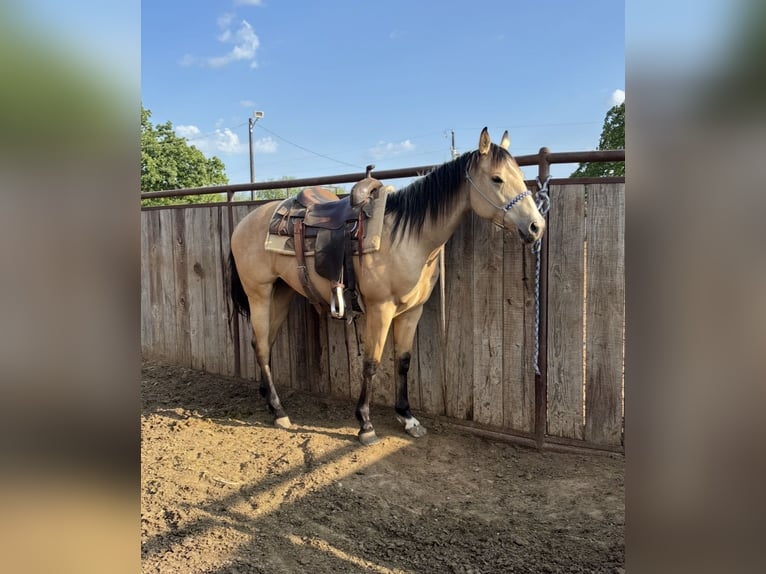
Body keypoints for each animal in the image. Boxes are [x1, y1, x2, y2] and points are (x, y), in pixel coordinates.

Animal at [228, 128, 545, 445]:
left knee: (264, 343)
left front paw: (407, 417)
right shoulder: (380, 310)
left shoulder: (412, 311)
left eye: (519, 175)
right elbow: (372, 363)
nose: (536, 226)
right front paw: (365, 424)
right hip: (259, 293)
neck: (407, 238)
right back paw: (278, 411)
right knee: (261, 346)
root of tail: (244, 223)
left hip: (281, 293)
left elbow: (403, 361)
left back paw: (268, 398)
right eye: (497, 178)